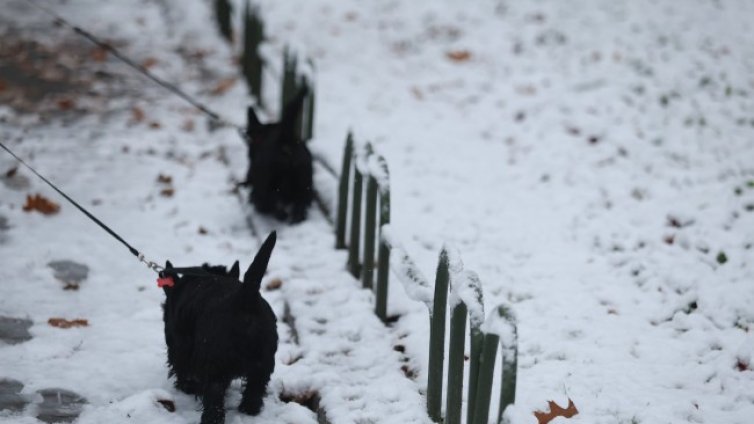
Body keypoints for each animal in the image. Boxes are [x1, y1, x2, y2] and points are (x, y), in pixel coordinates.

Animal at [160, 232, 278, 424]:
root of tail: (244, 299)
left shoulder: (179, 347)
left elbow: (182, 369)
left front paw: (187, 387)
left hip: (213, 368)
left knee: (214, 405)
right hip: (263, 365)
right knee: (254, 391)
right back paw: (248, 410)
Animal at [245, 88, 312, 224]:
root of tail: (285, 139)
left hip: (268, 184)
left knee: (274, 203)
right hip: (304, 183)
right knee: (300, 204)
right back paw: (296, 219)